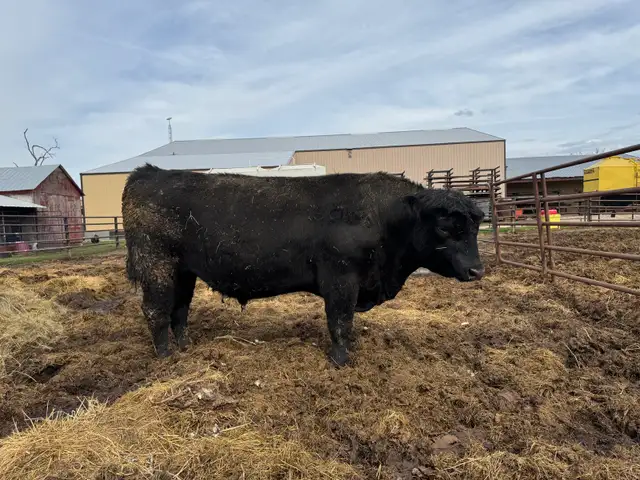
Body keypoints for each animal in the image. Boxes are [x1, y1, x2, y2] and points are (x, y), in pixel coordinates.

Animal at [122, 164, 485, 367]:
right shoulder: (341, 279)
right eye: (445, 228)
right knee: (156, 310)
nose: (477, 271)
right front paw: (341, 362)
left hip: (184, 270)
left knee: (179, 309)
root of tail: (149, 173)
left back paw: (185, 348)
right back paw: (166, 357)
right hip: (157, 263)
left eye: (475, 226)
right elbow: (340, 323)